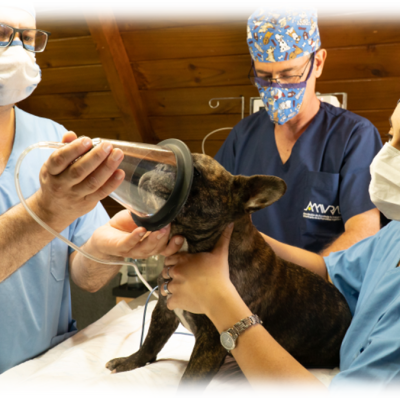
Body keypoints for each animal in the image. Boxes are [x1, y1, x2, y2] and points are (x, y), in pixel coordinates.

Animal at [105, 152, 350, 396]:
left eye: (196, 173)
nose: (160, 166)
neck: (190, 246)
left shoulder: (213, 339)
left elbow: (190, 379)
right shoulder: (165, 308)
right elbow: (150, 341)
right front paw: (130, 361)